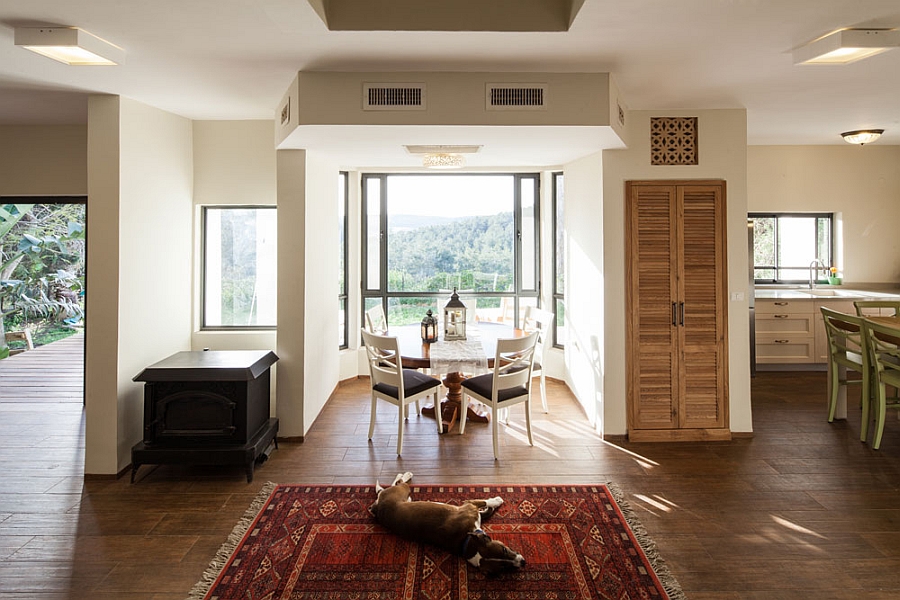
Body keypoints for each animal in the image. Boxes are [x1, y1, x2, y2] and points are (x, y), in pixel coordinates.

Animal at [368, 472, 524, 576]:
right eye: (503, 567)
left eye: (504, 550)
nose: (523, 562)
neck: (465, 541)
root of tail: (377, 508)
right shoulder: (470, 504)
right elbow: (486, 502)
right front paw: (497, 500)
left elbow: (487, 510)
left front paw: (491, 507)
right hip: (403, 490)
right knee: (398, 482)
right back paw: (405, 474)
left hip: (408, 498)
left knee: (386, 488)